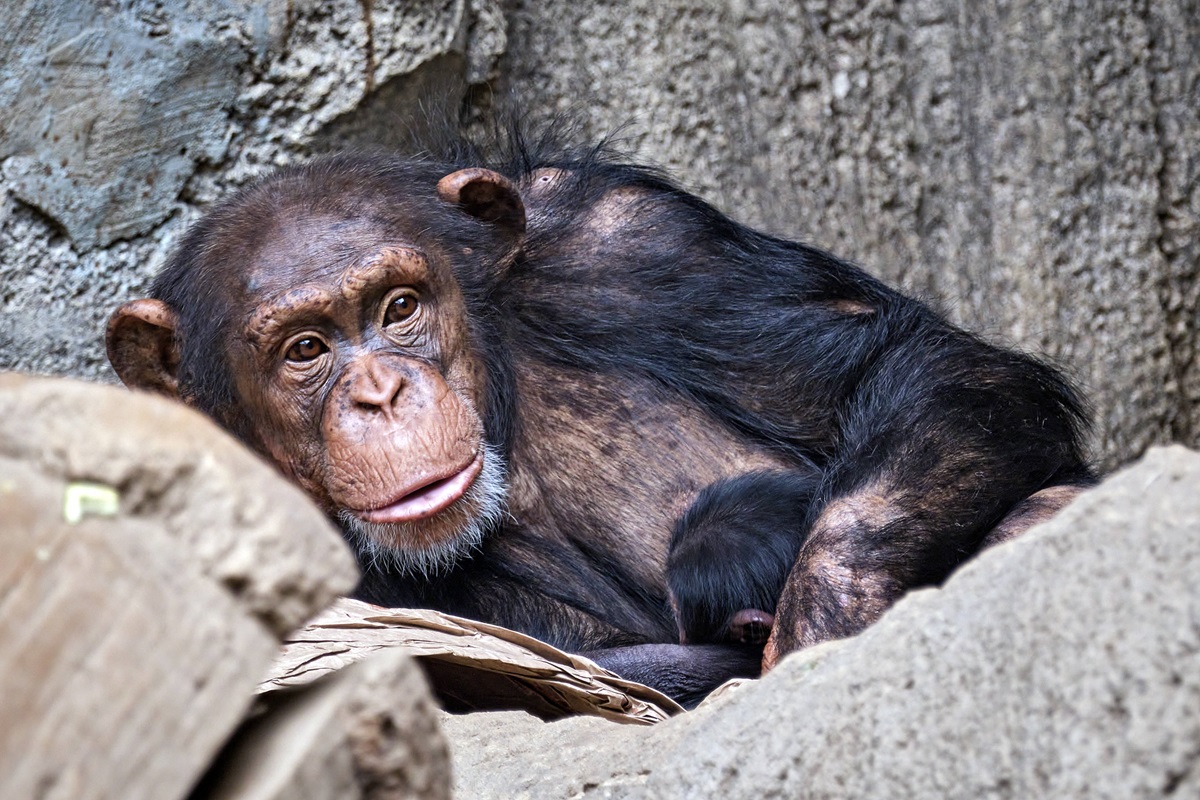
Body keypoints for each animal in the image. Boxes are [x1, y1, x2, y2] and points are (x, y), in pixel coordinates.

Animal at [108, 134, 1094, 710]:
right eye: (305, 350)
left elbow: (925, 368)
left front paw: (827, 616)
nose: (381, 393)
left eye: (399, 307)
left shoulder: (630, 242)